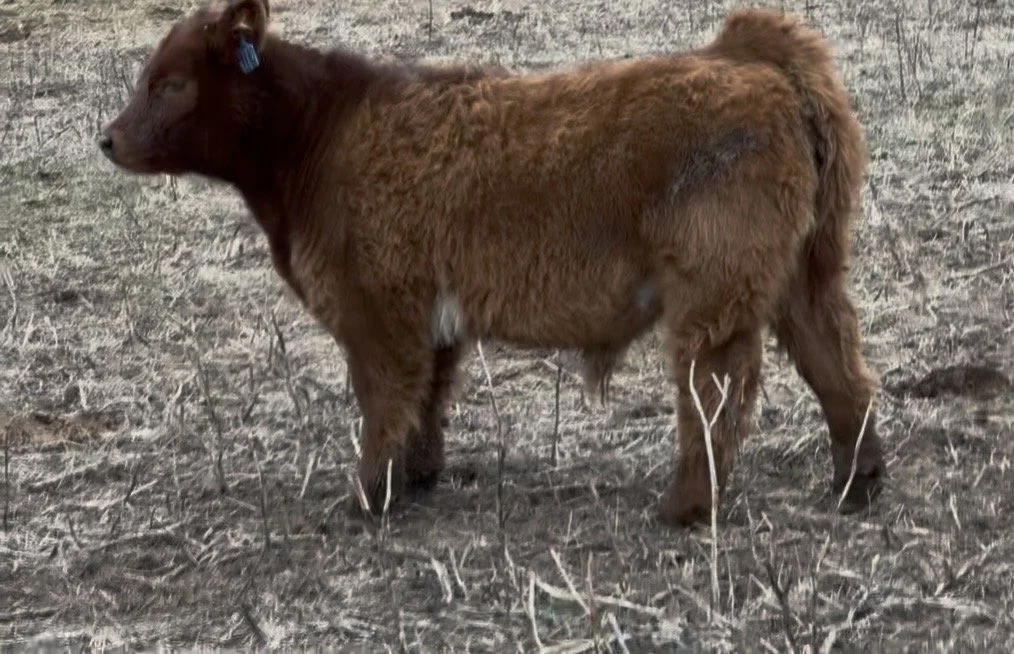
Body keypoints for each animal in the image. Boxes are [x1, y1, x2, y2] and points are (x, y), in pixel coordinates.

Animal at [99, 0, 887, 527]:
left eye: (170, 83)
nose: (108, 139)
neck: (321, 137)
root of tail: (747, 57)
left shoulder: (378, 310)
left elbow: (384, 400)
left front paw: (364, 498)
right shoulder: (431, 318)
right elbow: (426, 400)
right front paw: (416, 480)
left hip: (715, 294)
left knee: (716, 389)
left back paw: (687, 507)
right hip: (805, 276)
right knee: (840, 369)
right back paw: (857, 486)